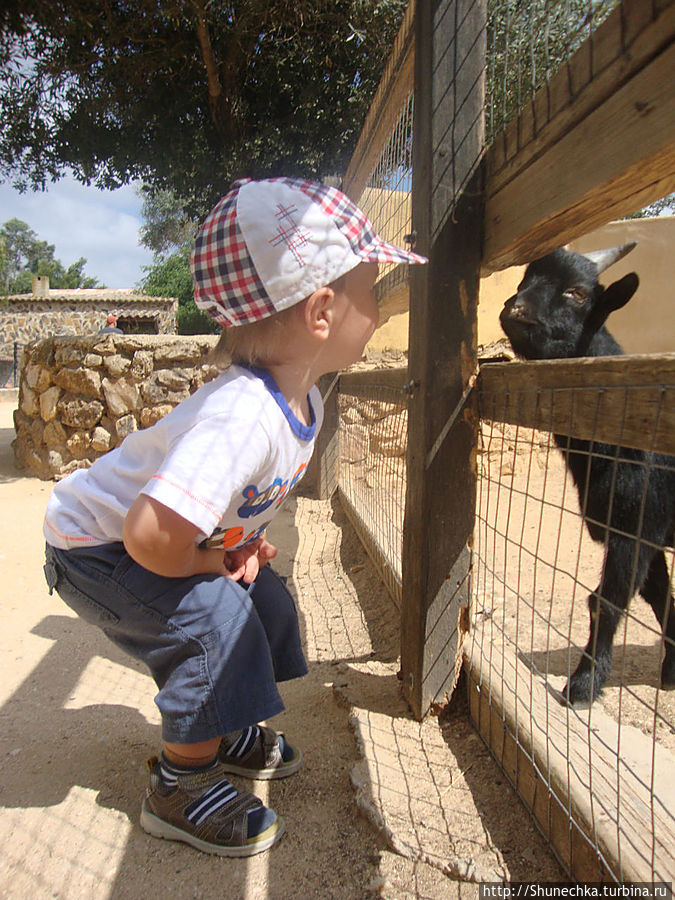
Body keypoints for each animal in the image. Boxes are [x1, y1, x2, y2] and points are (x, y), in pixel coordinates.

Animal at [500, 244, 672, 704]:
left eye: (577, 292)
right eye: (523, 279)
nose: (514, 308)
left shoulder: (638, 528)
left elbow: (605, 602)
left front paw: (584, 682)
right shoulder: (634, 530)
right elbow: (660, 598)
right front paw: (672, 668)